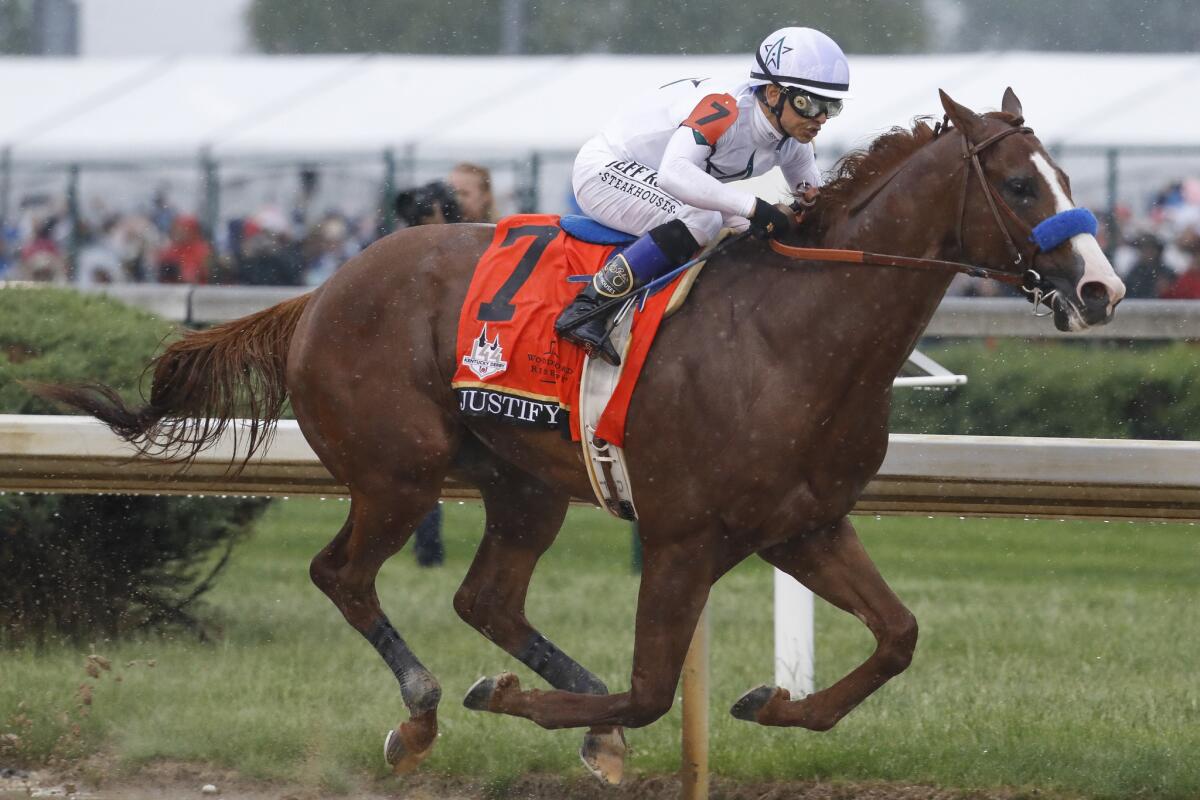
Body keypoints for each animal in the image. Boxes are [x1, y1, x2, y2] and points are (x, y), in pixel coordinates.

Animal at [39, 90, 1123, 786]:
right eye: (1020, 186)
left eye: (1065, 171)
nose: (1103, 288)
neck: (793, 333)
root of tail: (322, 291)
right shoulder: (686, 538)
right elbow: (648, 691)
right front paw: (512, 703)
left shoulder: (803, 525)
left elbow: (898, 636)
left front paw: (770, 704)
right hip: (399, 472)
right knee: (343, 574)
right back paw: (424, 711)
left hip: (522, 483)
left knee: (484, 594)